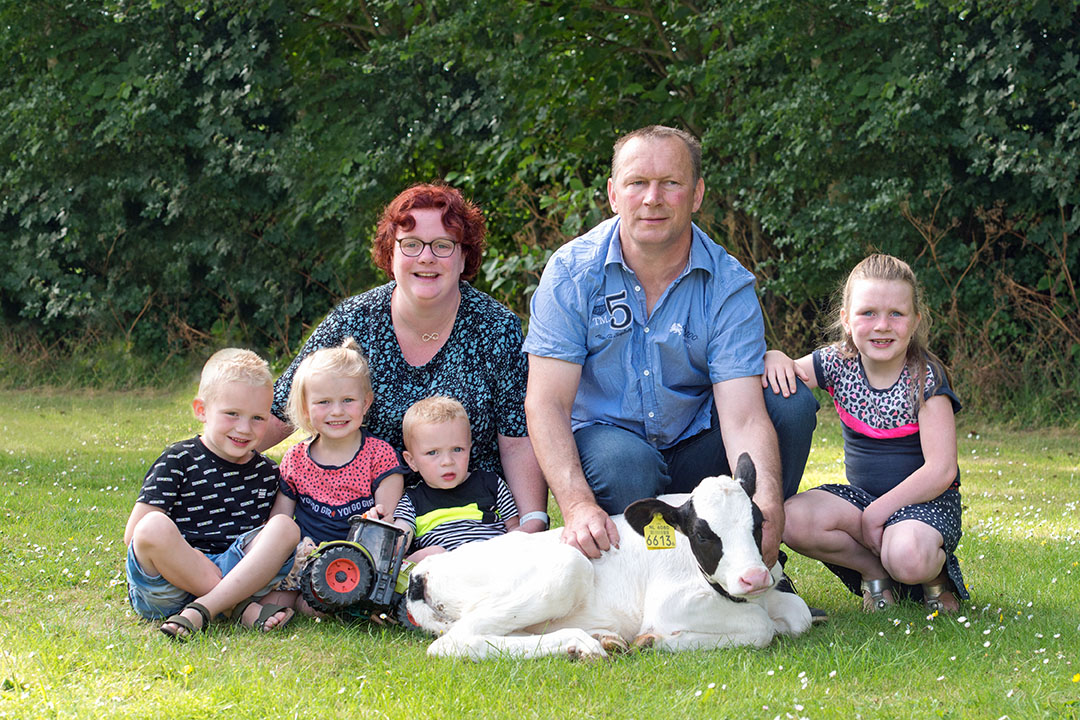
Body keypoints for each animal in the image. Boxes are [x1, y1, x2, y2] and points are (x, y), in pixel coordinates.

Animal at [406, 455, 812, 660]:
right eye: (701, 534)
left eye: (759, 523)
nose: (753, 577)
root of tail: (423, 572)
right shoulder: (669, 604)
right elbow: (760, 627)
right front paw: (654, 640)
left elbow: (799, 614)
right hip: (567, 567)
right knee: (454, 642)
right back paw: (580, 644)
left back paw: (600, 639)